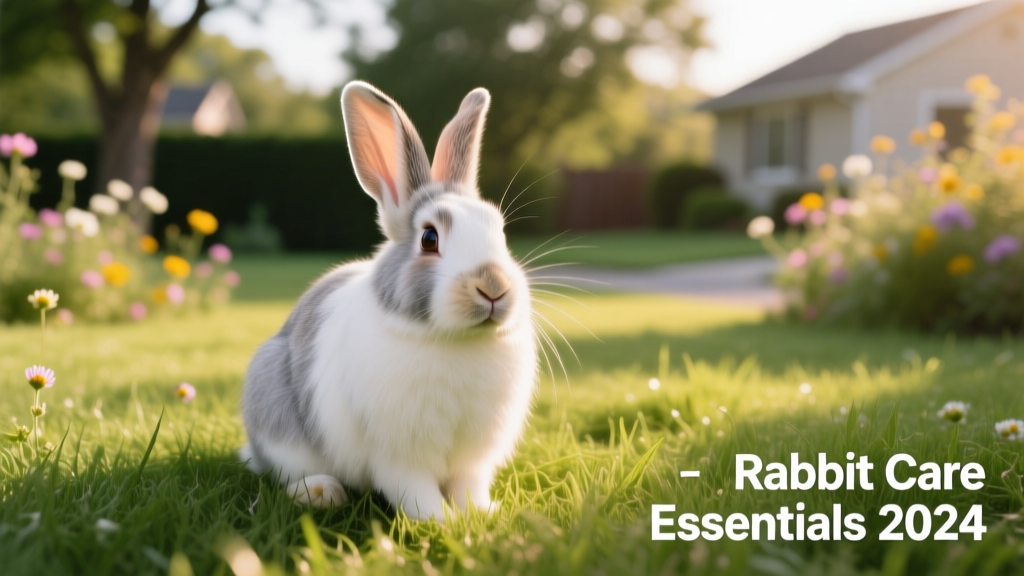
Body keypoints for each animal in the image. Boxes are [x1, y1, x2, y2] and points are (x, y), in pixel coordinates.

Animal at [239, 80, 538, 522]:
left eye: (499, 232)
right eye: (429, 238)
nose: (493, 286)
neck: (455, 340)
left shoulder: (473, 460)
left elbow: (469, 488)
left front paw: (483, 514)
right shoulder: (399, 457)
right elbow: (415, 492)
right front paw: (442, 522)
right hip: (276, 415)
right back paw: (322, 493)